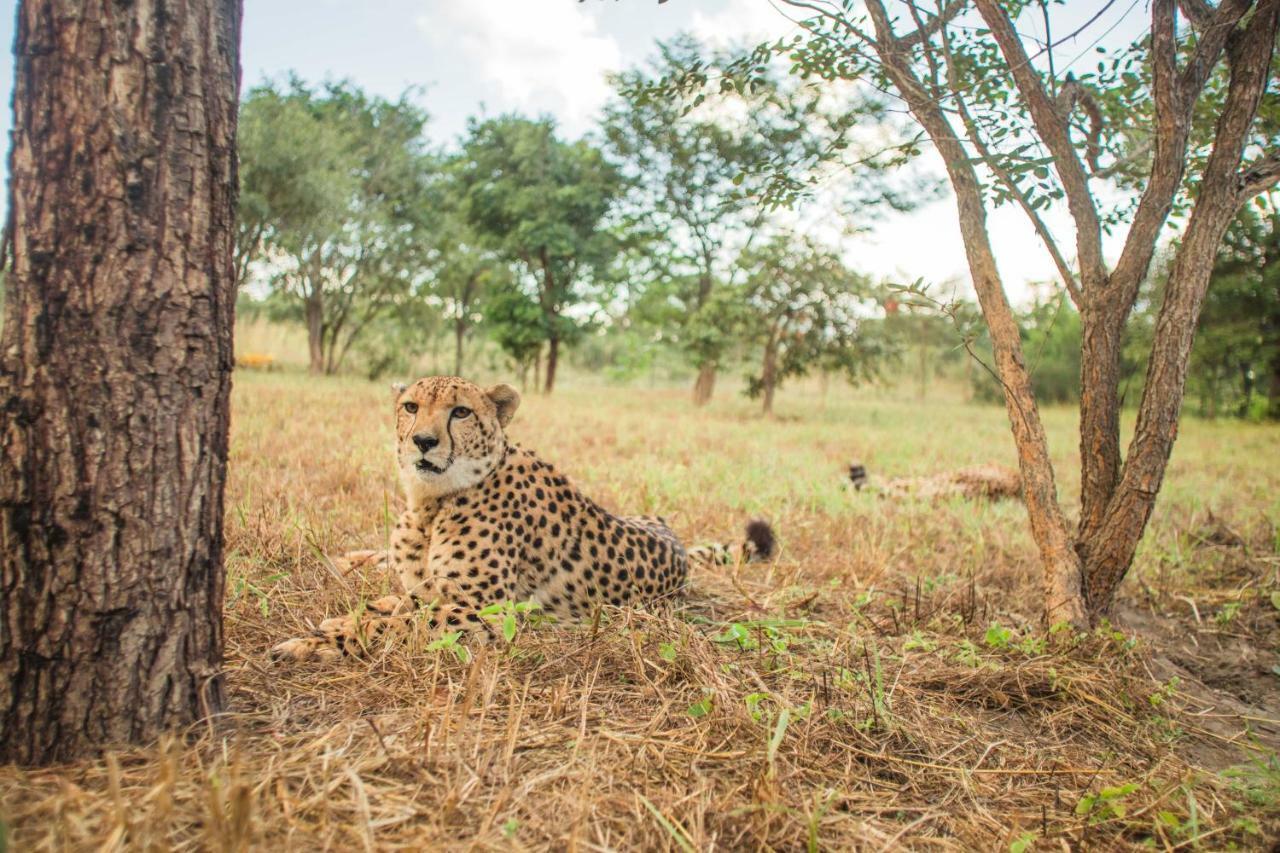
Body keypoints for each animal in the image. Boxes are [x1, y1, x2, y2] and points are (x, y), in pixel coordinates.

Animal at [270, 376, 773, 660]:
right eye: (411, 407)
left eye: (460, 412)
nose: (423, 442)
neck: (431, 504)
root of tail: (676, 541)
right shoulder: (435, 592)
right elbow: (398, 605)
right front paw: (340, 621)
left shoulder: (489, 609)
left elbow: (404, 621)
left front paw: (322, 641)